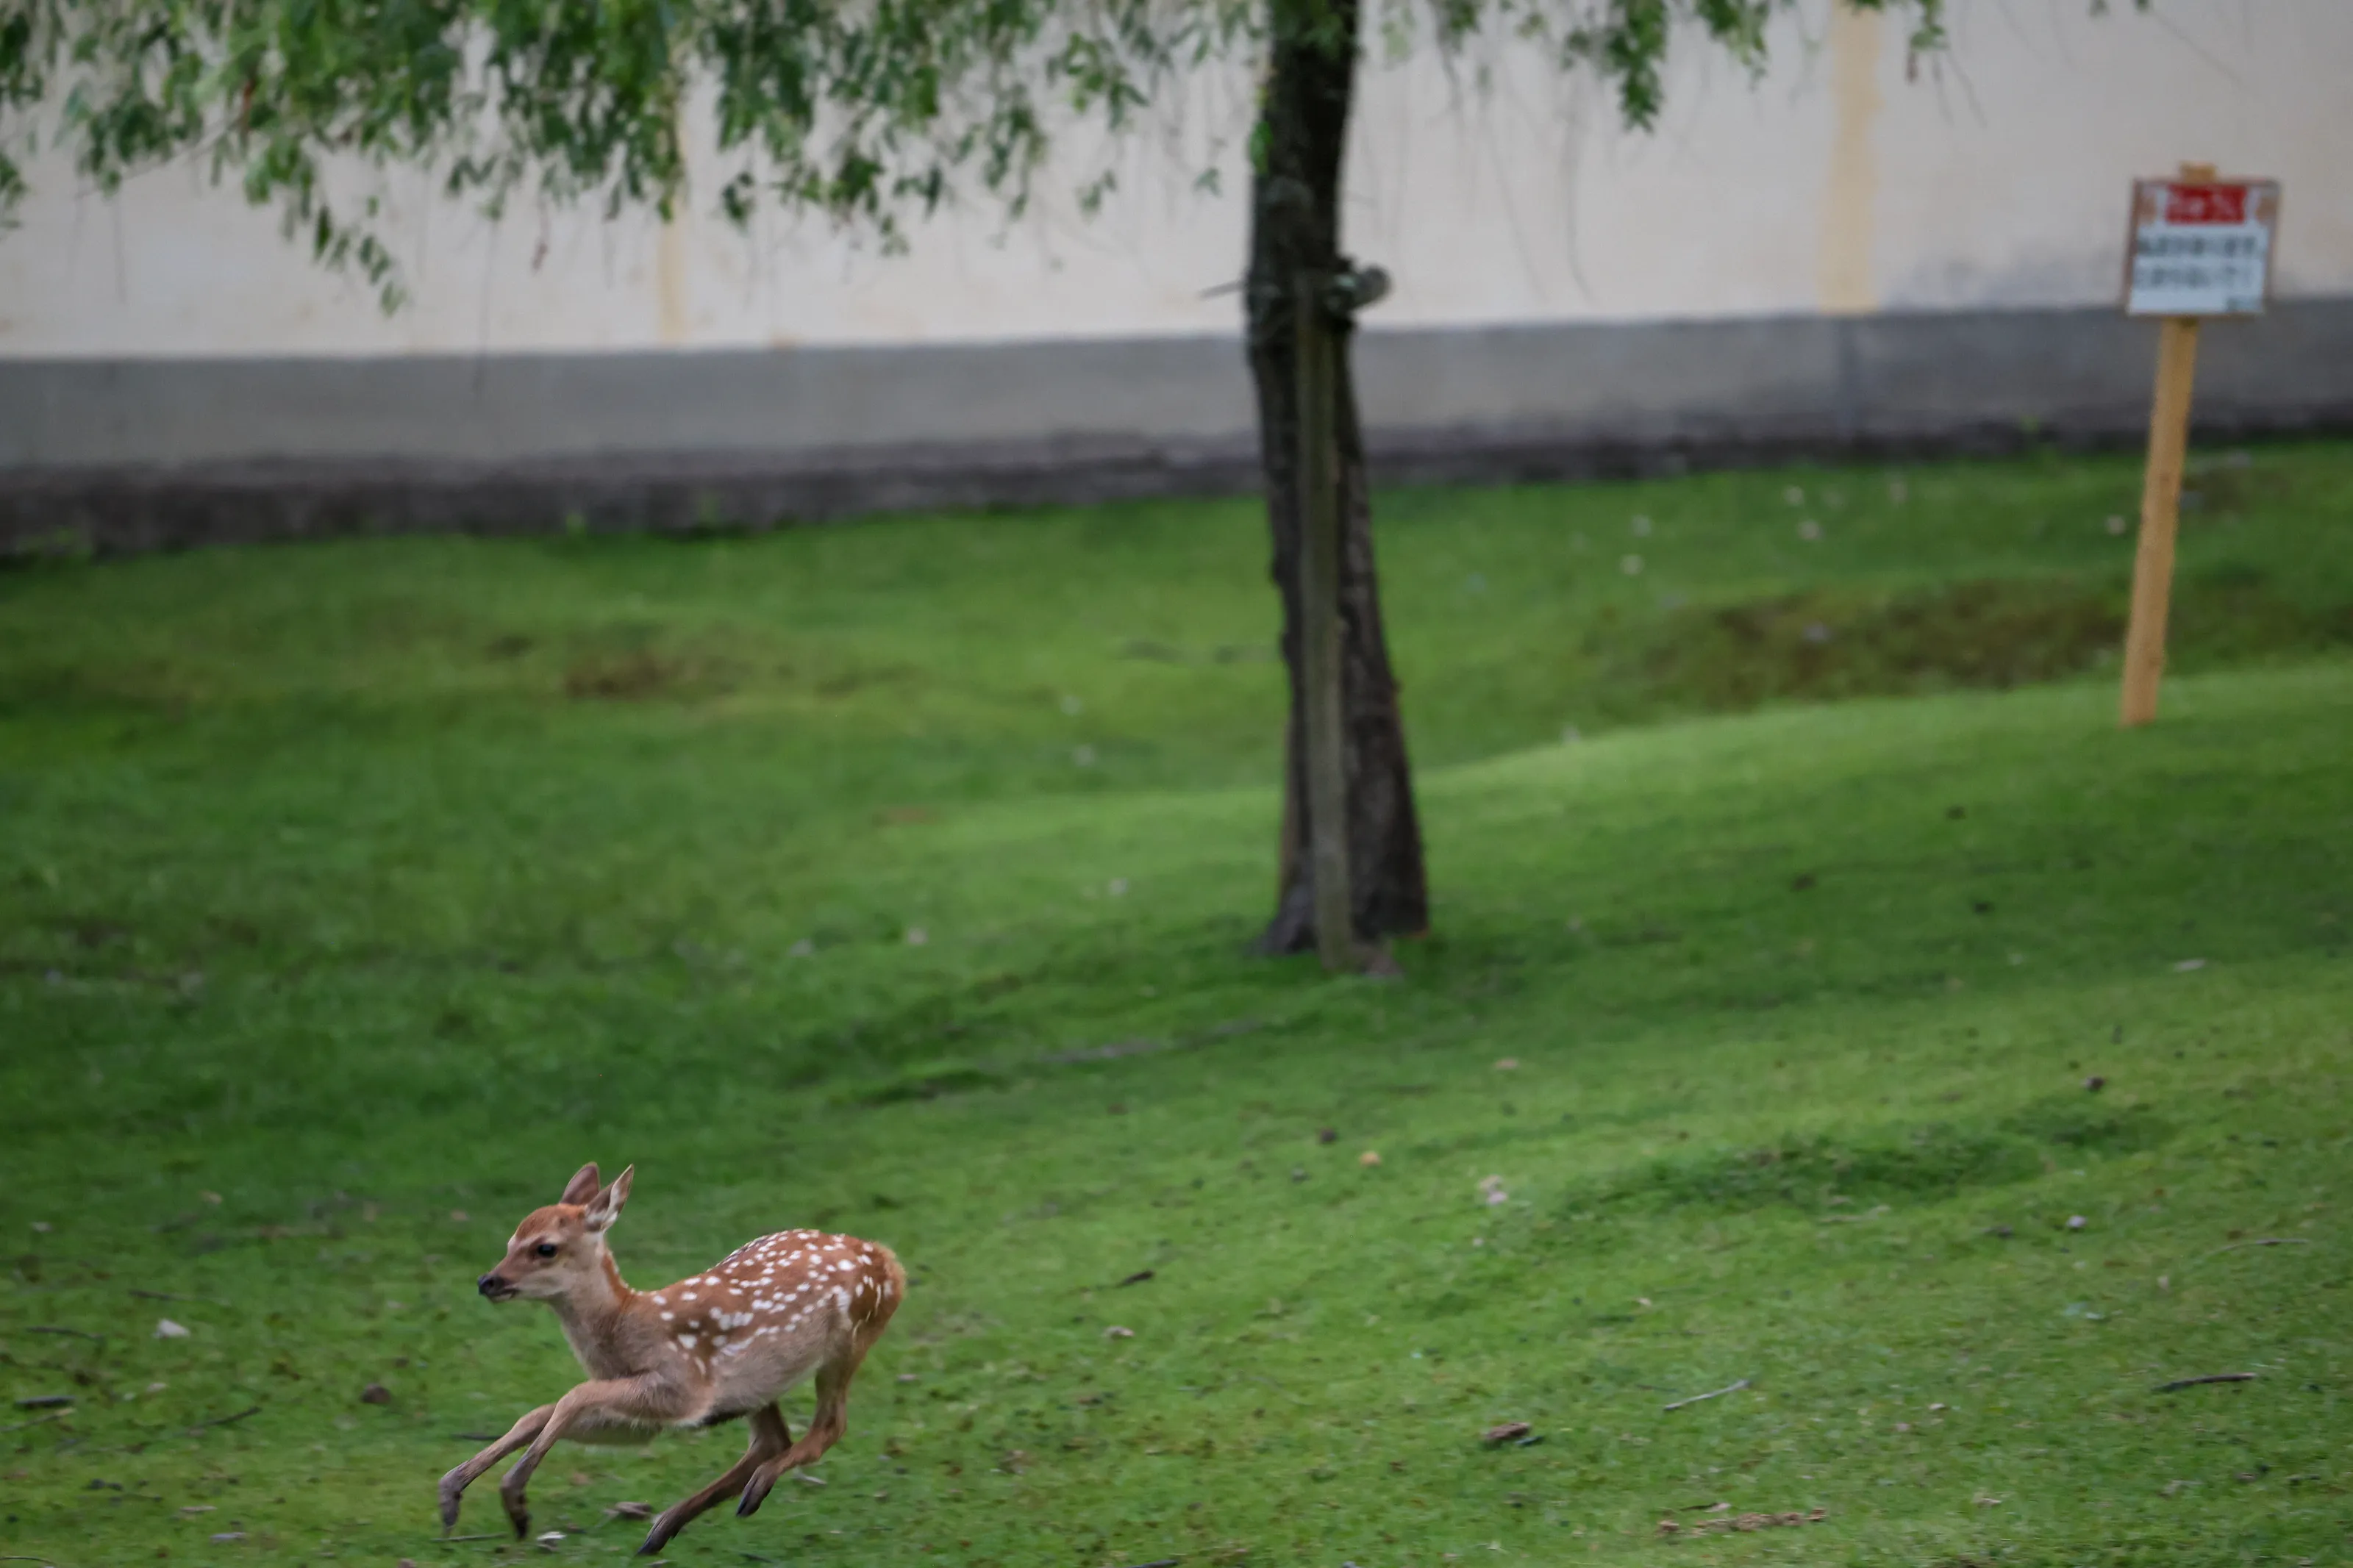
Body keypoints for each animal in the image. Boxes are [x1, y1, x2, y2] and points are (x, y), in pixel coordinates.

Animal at [438, 1163, 904, 1556]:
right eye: (510, 1241)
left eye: (545, 1248)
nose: (488, 1281)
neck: (627, 1327)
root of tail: (887, 1259)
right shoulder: (650, 1413)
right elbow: (542, 1411)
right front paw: (452, 1493)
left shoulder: (682, 1386)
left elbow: (573, 1396)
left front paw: (514, 1498)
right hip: (758, 1387)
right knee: (773, 1440)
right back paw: (665, 1529)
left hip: (849, 1341)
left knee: (829, 1425)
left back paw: (750, 1492)